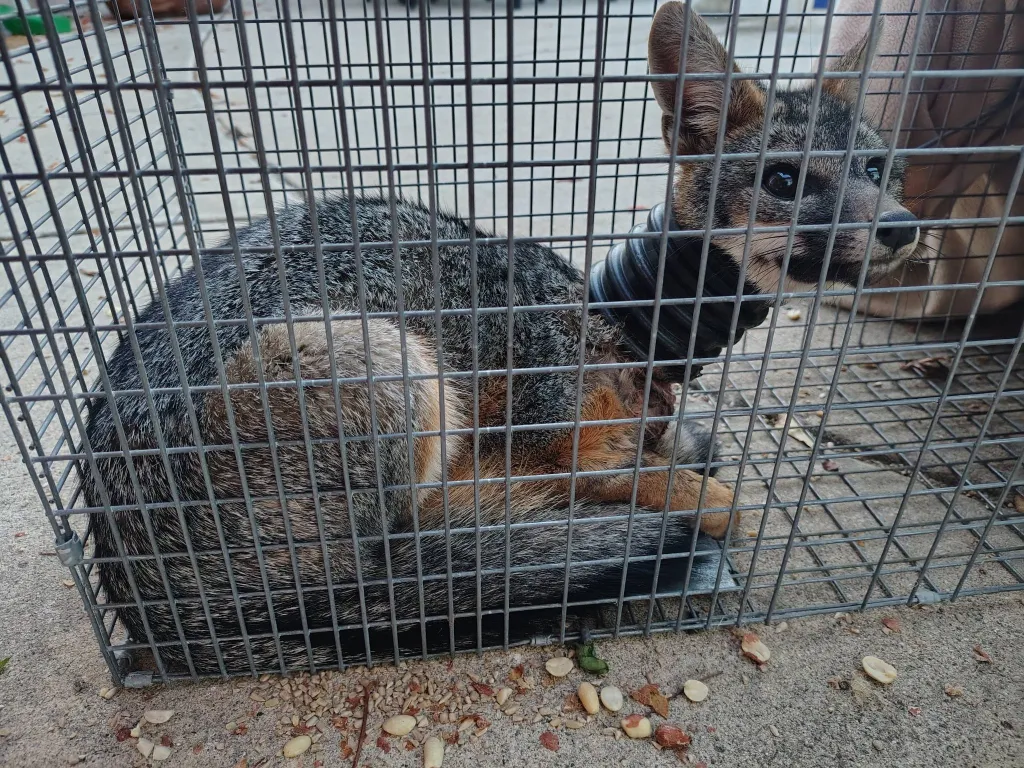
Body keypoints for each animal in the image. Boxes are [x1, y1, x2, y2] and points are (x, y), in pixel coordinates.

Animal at [80, 3, 919, 675]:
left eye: (881, 169)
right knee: (419, 556)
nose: (905, 229)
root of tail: (153, 600)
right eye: (783, 180)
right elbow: (688, 493)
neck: (624, 321)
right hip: (386, 366)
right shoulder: (537, 447)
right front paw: (675, 495)